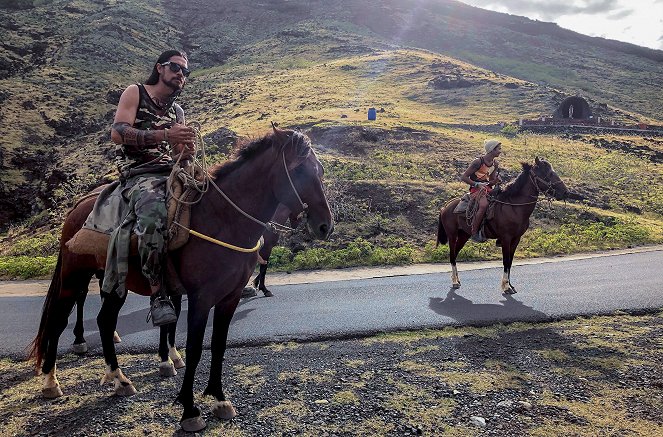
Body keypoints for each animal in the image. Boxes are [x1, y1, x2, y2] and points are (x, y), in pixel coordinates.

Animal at [29, 127, 334, 432]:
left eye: (319, 170)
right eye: (299, 170)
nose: (325, 226)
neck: (222, 220)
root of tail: (77, 208)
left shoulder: (230, 297)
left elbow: (219, 346)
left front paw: (219, 399)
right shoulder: (201, 298)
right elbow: (195, 349)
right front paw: (190, 409)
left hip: (114, 281)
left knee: (105, 322)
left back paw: (120, 380)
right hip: (74, 278)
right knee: (58, 321)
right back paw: (51, 381)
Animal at [436, 157, 572, 292]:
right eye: (548, 174)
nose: (565, 192)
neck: (514, 207)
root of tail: (446, 207)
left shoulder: (516, 239)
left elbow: (510, 261)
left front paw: (510, 284)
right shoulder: (506, 238)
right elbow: (506, 261)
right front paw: (506, 286)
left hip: (464, 235)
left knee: (455, 254)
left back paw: (457, 280)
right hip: (452, 235)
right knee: (452, 255)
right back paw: (454, 281)